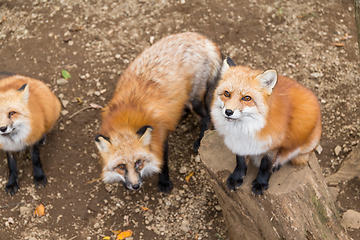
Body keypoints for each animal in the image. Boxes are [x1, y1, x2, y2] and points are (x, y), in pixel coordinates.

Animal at [95, 32, 222, 193]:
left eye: (138, 162)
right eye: (121, 166)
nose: (135, 186)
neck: (127, 118)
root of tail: (200, 37)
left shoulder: (160, 136)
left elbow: (162, 163)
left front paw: (164, 182)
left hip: (194, 99)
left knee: (207, 117)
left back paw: (200, 140)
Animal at [210, 57, 322, 195]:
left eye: (247, 98)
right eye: (226, 94)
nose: (228, 112)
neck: (246, 129)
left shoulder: (273, 144)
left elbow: (265, 166)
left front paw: (261, 183)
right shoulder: (240, 143)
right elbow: (240, 162)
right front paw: (237, 178)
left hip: (305, 148)